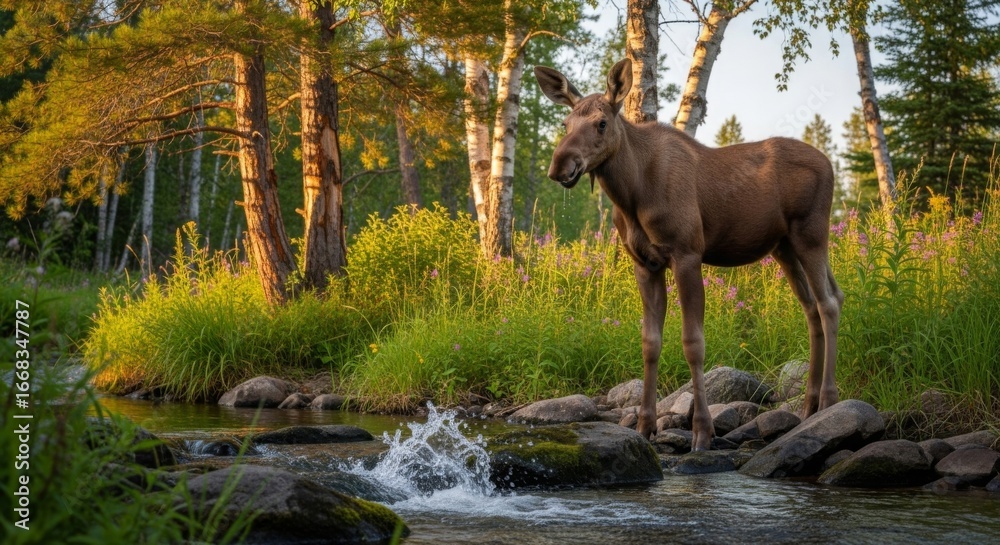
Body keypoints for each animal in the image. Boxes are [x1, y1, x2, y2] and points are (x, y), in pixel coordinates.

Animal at [534, 59, 844, 451]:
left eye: (601, 123)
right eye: (565, 124)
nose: (561, 165)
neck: (632, 194)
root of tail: (830, 164)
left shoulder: (687, 254)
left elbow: (693, 343)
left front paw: (702, 431)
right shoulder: (645, 264)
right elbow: (650, 342)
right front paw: (645, 426)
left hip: (811, 234)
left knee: (829, 302)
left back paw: (830, 402)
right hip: (784, 247)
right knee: (814, 307)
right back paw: (808, 406)